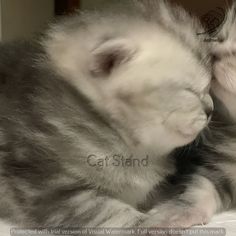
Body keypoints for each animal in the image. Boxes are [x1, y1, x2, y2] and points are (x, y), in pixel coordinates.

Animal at [0, 0, 212, 231]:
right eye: (190, 91)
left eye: (209, 88)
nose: (211, 110)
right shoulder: (45, 185)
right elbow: (110, 213)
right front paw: (152, 224)